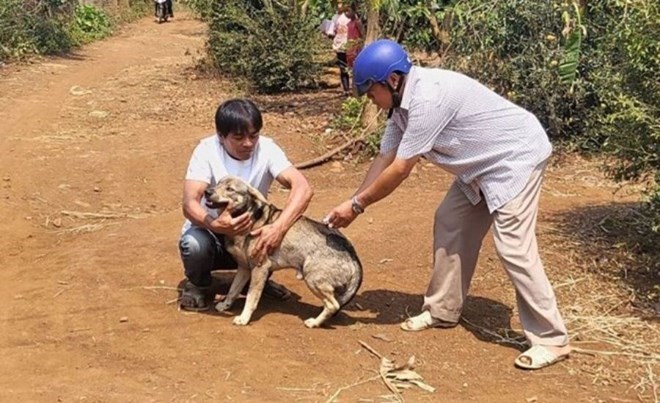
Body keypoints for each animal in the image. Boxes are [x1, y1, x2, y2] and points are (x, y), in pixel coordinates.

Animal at [204, 177, 364, 328]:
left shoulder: (259, 269)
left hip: (312, 278)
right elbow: (233, 290)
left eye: (230, 189)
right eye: (218, 183)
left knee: (333, 305)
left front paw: (244, 318)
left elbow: (251, 298)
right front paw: (225, 305)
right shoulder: (244, 268)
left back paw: (314, 322)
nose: (207, 192)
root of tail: (352, 253)